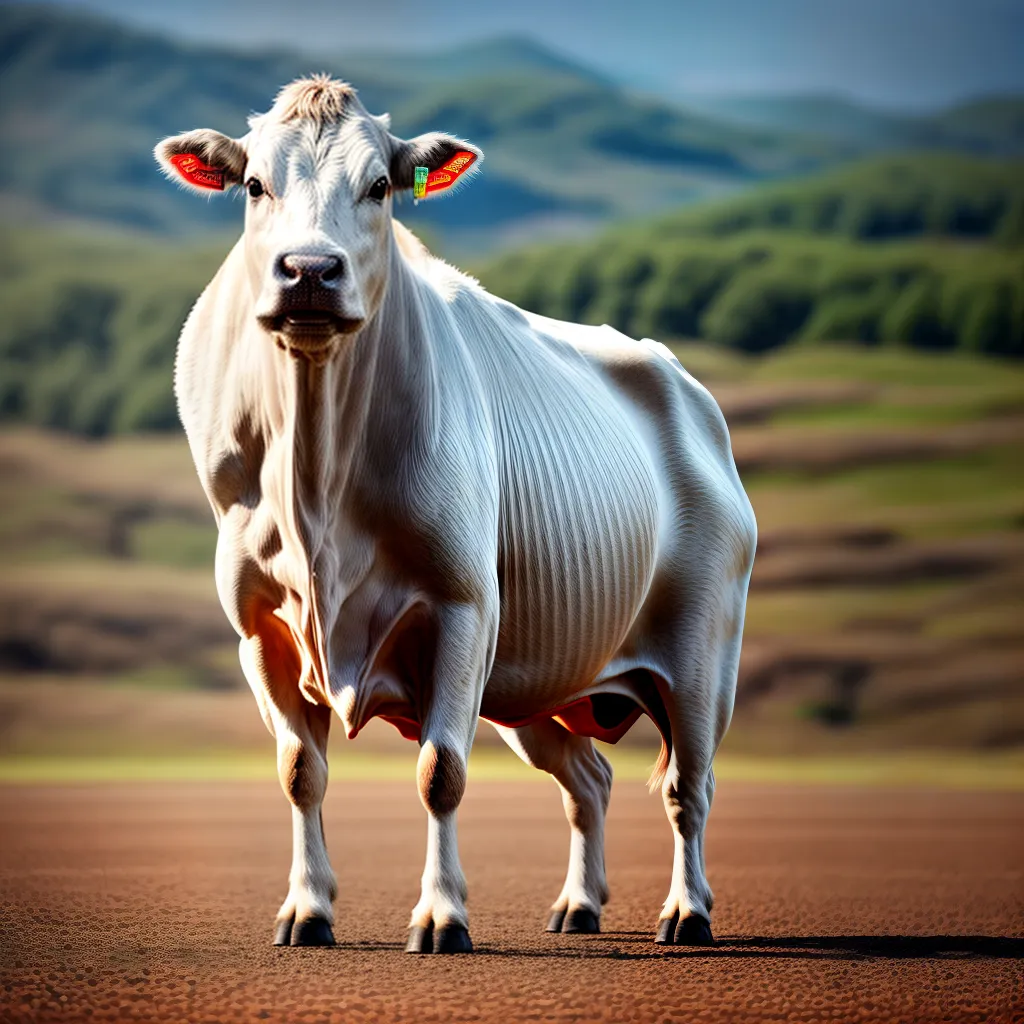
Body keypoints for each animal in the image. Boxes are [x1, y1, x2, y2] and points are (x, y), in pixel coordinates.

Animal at [155, 74, 756, 955]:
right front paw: (307, 910)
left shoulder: (462, 607)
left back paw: (687, 912)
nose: (309, 270)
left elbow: (441, 773)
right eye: (255, 185)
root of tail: (689, 391)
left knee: (690, 785)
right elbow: (300, 772)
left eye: (380, 186)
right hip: (536, 679)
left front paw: (441, 916)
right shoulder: (261, 625)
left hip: (703, 650)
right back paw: (578, 906)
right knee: (590, 778)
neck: (316, 482)